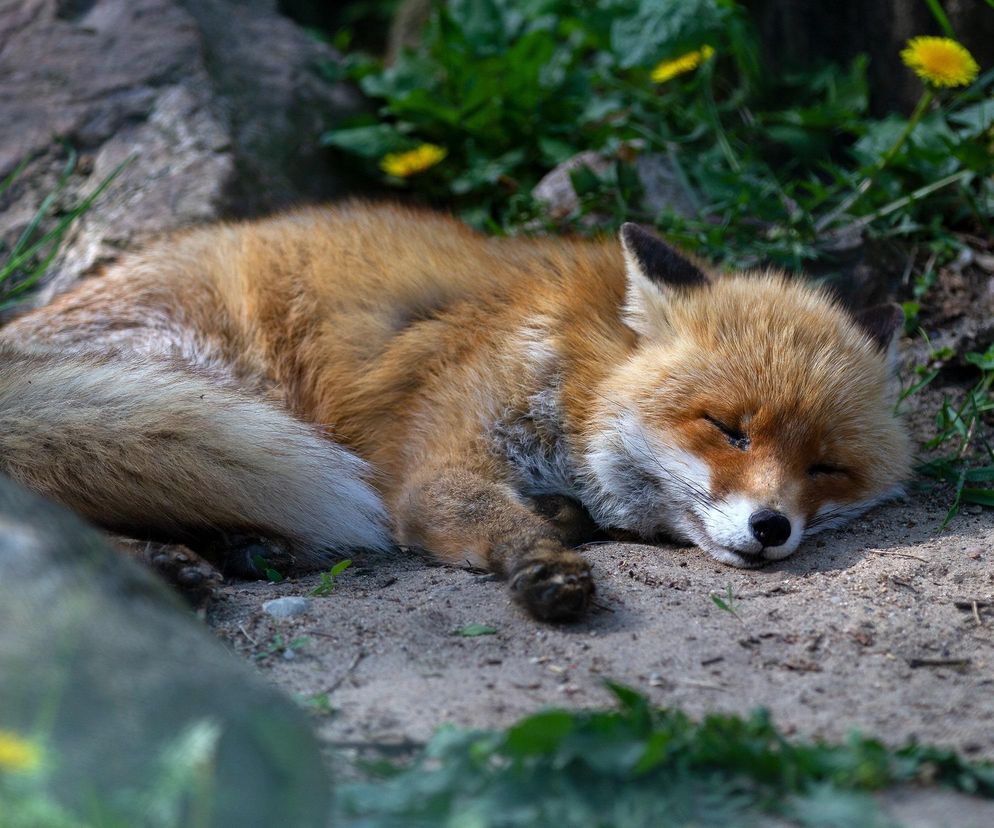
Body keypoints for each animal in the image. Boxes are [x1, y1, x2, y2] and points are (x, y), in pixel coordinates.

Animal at [0, 204, 908, 620]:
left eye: (826, 468)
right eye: (727, 429)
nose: (771, 528)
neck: (572, 366)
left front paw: (562, 523)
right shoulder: (438, 466)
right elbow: (490, 519)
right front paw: (543, 565)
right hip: (209, 384)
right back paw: (163, 565)